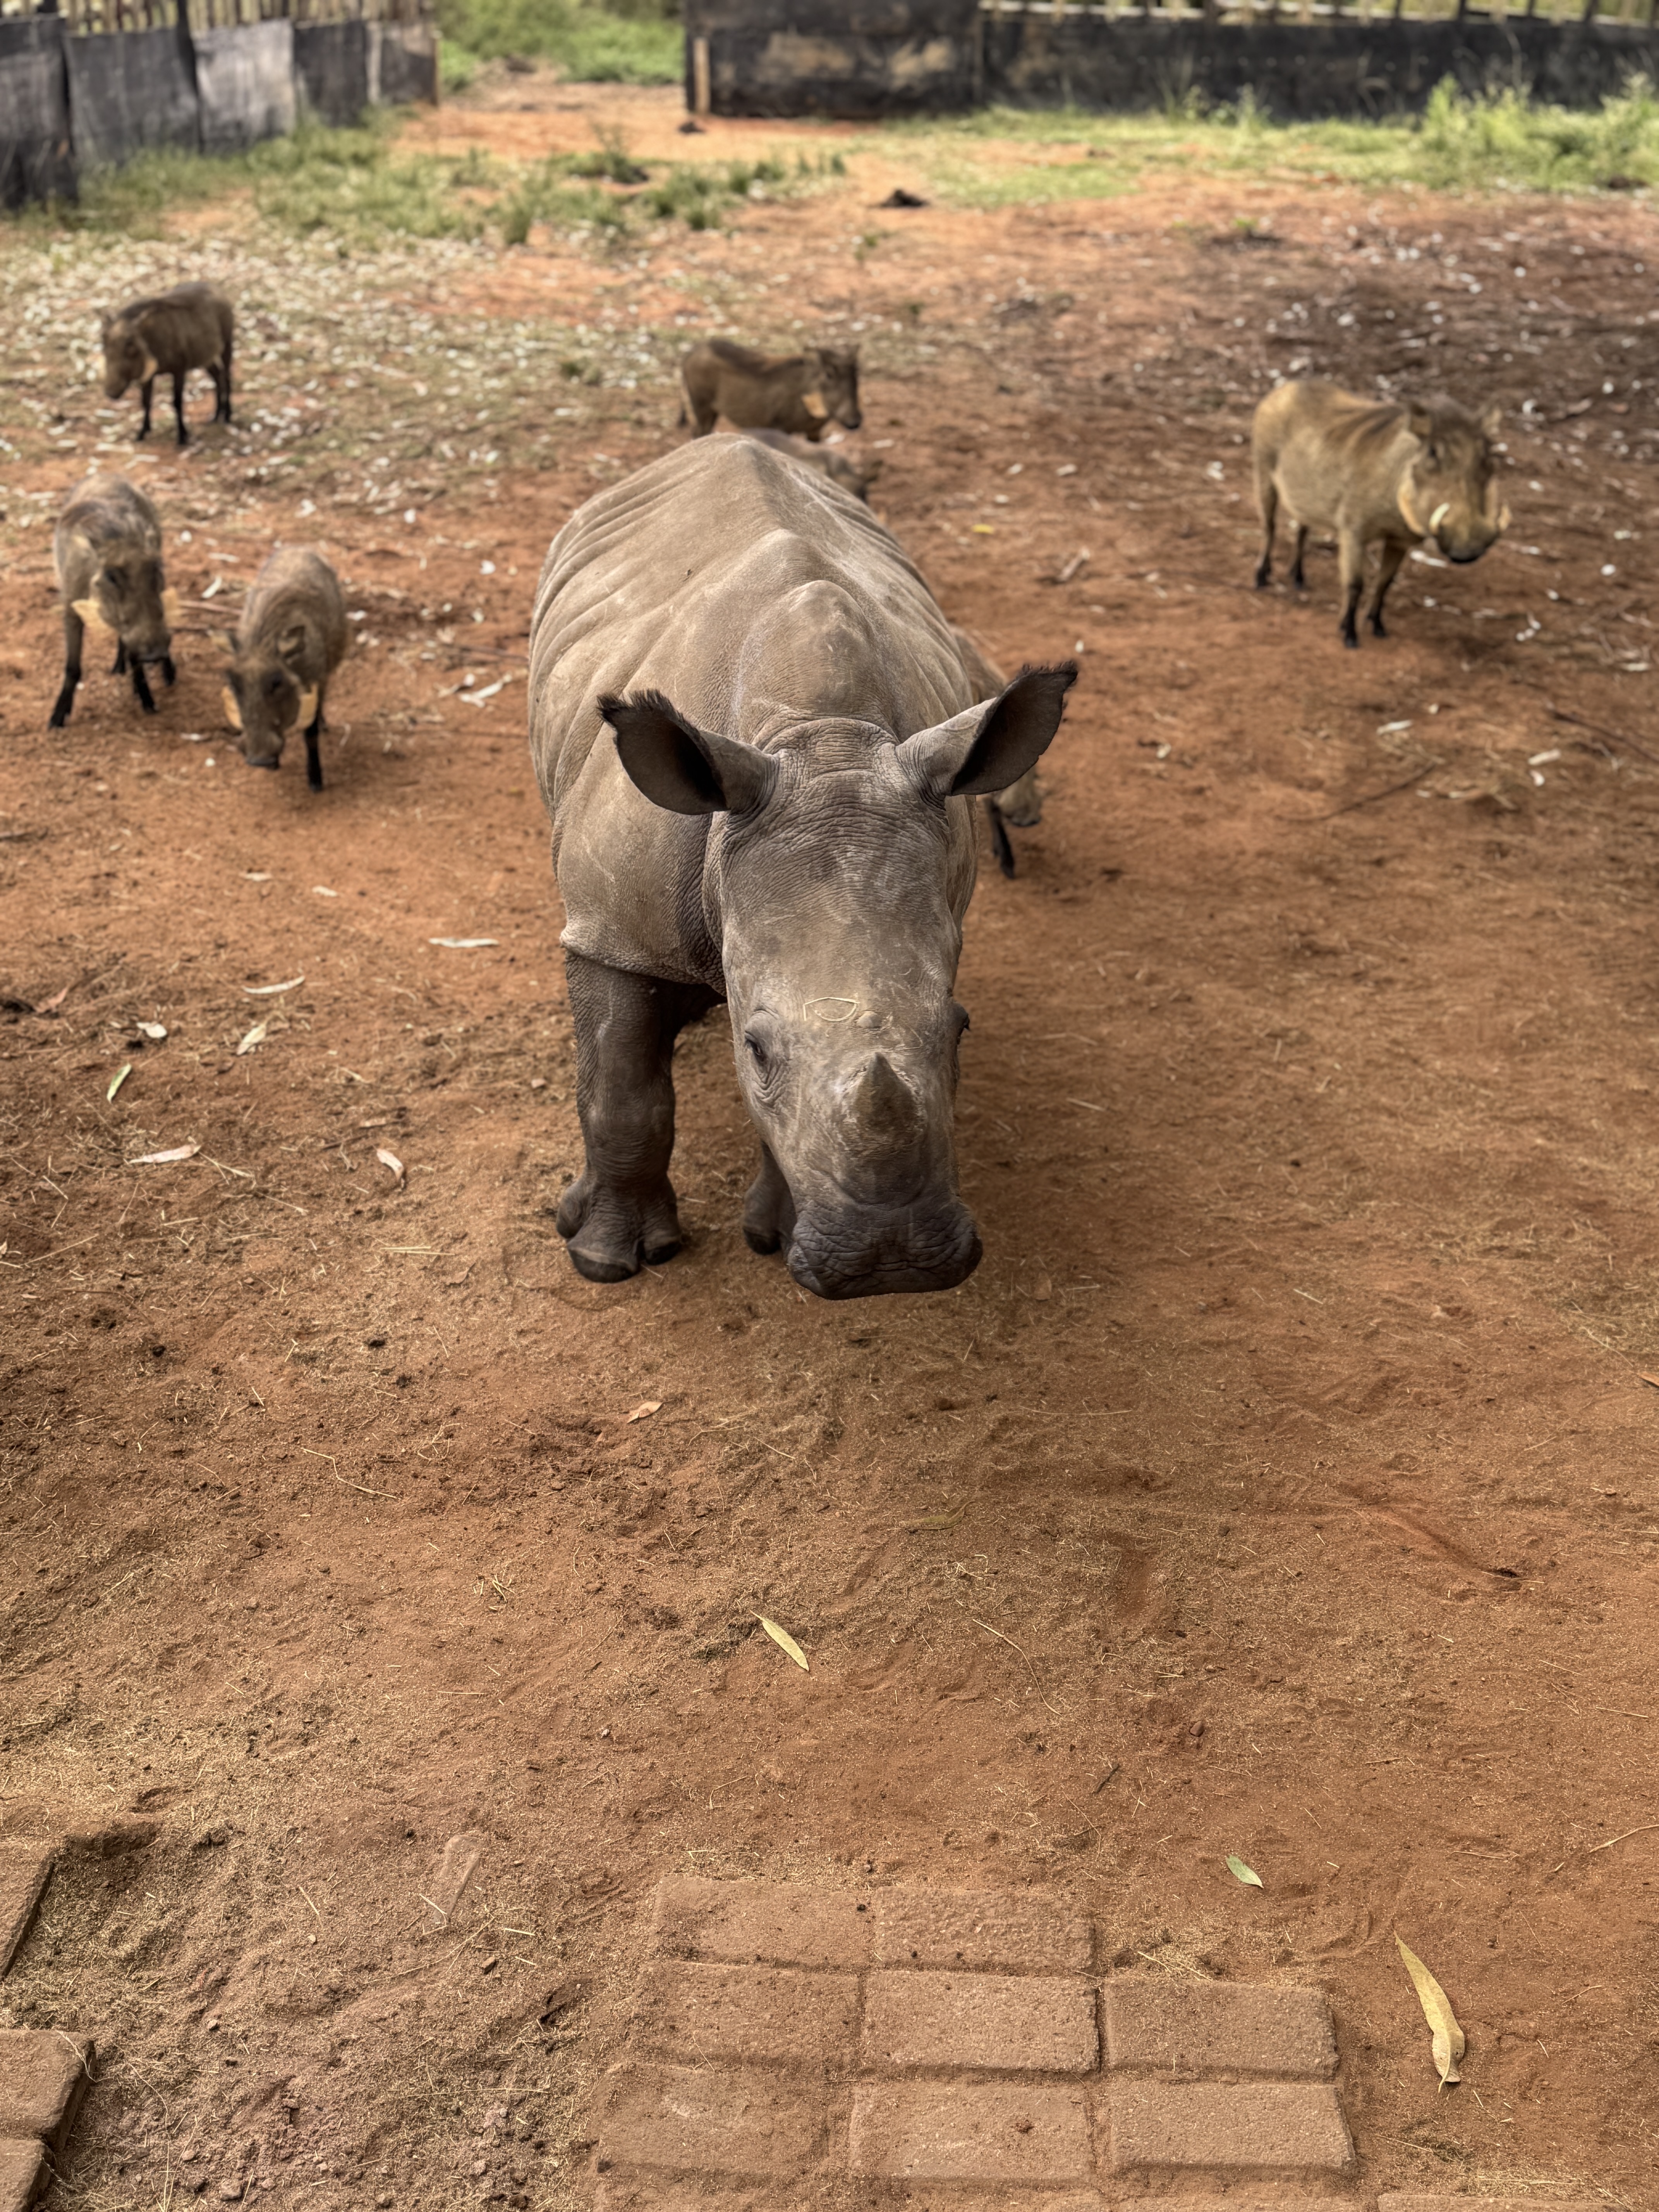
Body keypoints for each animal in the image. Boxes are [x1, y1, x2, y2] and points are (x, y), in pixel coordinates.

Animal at [527, 437, 1075, 1299]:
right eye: (756, 1049)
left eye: (957, 1032)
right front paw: (607, 1261)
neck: (822, 739)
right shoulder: (613, 932)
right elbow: (622, 1095)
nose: (892, 1265)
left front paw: (774, 1234)